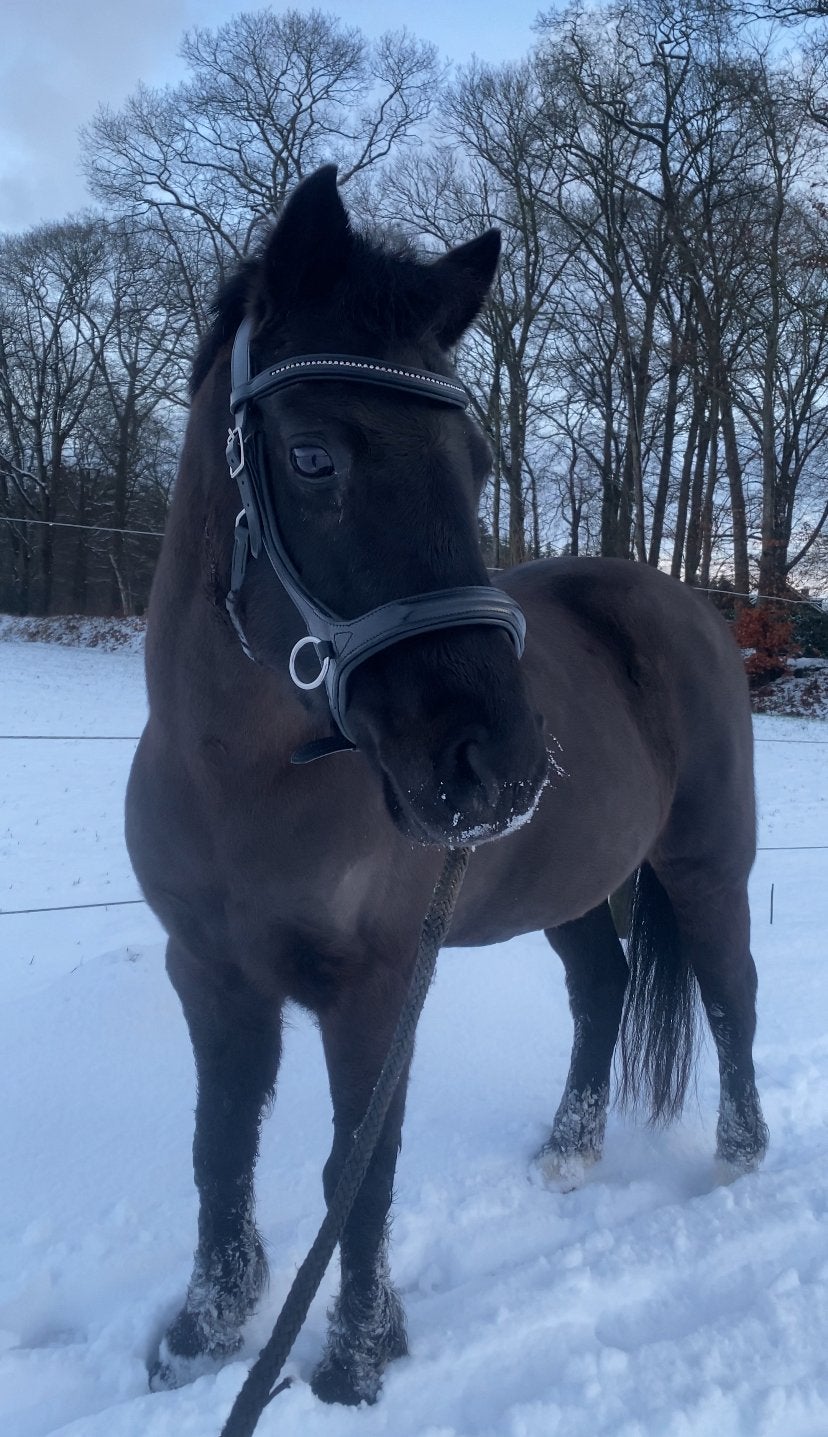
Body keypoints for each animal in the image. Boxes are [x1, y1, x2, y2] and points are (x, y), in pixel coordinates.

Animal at [126, 164, 768, 1407]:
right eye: (314, 457)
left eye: (473, 467)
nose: (501, 760)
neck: (238, 779)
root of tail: (684, 606)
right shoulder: (209, 976)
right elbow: (216, 1148)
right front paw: (201, 1333)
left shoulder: (376, 991)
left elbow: (357, 1173)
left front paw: (354, 1364)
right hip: (571, 884)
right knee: (602, 988)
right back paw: (569, 1153)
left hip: (706, 861)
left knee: (731, 995)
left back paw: (737, 1162)